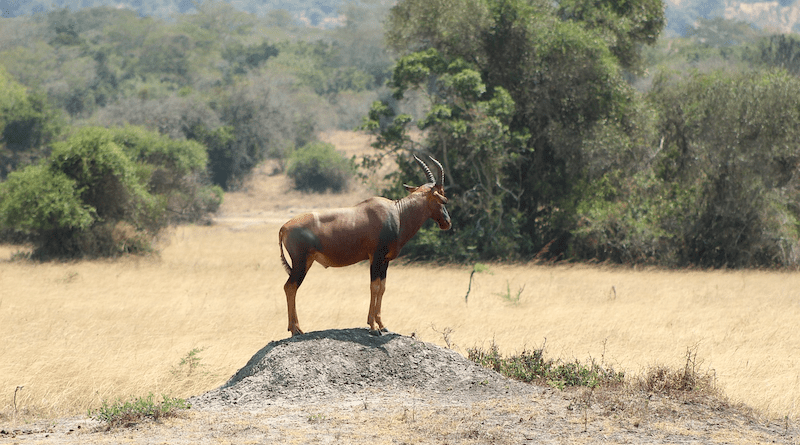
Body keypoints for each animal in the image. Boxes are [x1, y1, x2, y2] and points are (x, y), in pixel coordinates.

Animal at [280, 154, 450, 334]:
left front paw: (382, 325)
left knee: (290, 287)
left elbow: (382, 287)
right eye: (441, 197)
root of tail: (283, 227)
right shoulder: (375, 257)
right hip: (301, 262)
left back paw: (294, 328)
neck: (397, 213)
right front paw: (373, 327)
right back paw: (296, 329)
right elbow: (373, 287)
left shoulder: (385, 261)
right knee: (290, 287)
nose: (447, 222)